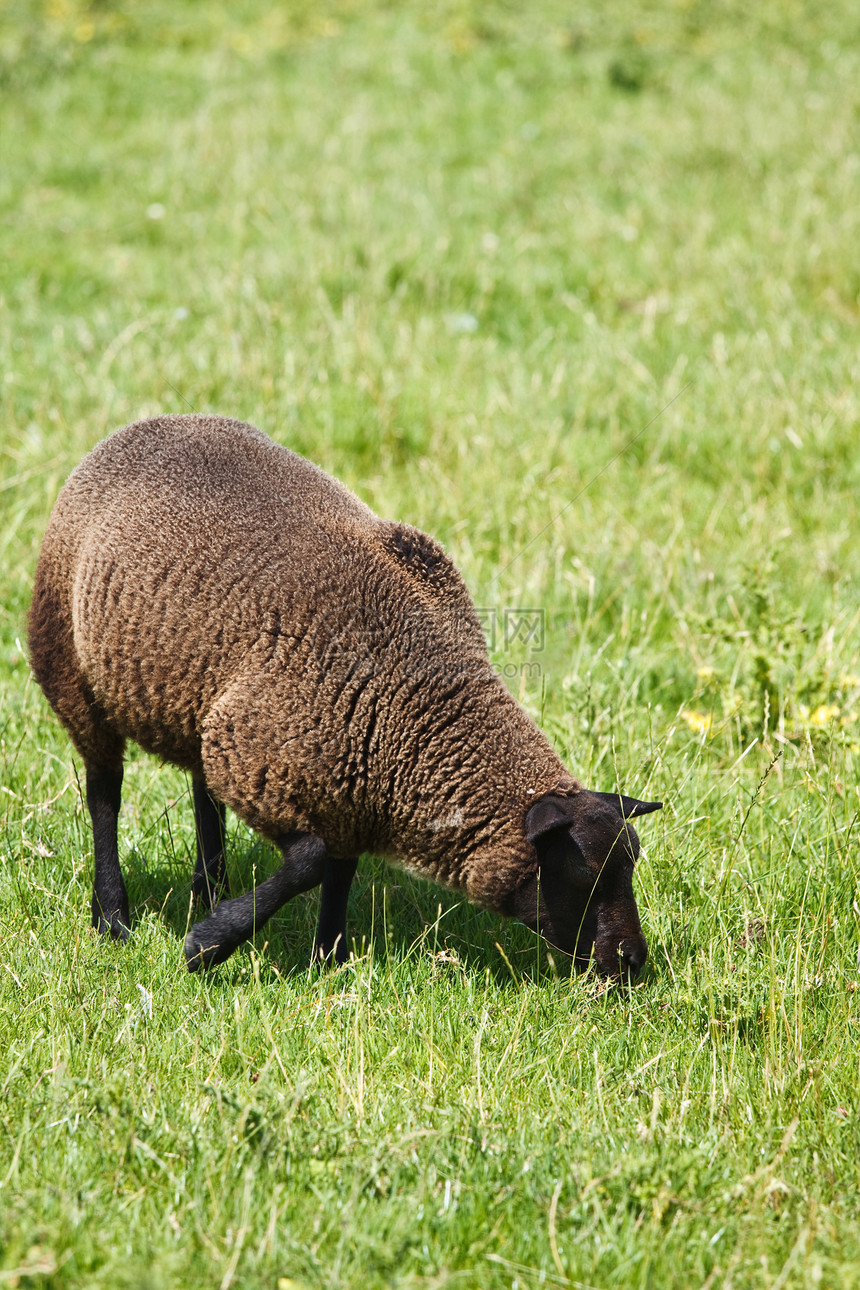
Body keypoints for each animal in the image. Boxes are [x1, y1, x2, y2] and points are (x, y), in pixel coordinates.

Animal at [25, 412, 660, 975]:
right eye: (583, 877)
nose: (634, 962)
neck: (416, 715)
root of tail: (144, 424)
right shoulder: (266, 756)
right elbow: (309, 863)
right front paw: (210, 943)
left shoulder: (350, 789)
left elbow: (339, 870)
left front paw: (328, 956)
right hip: (70, 670)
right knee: (104, 794)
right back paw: (113, 916)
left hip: (198, 703)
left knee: (201, 790)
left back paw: (208, 887)